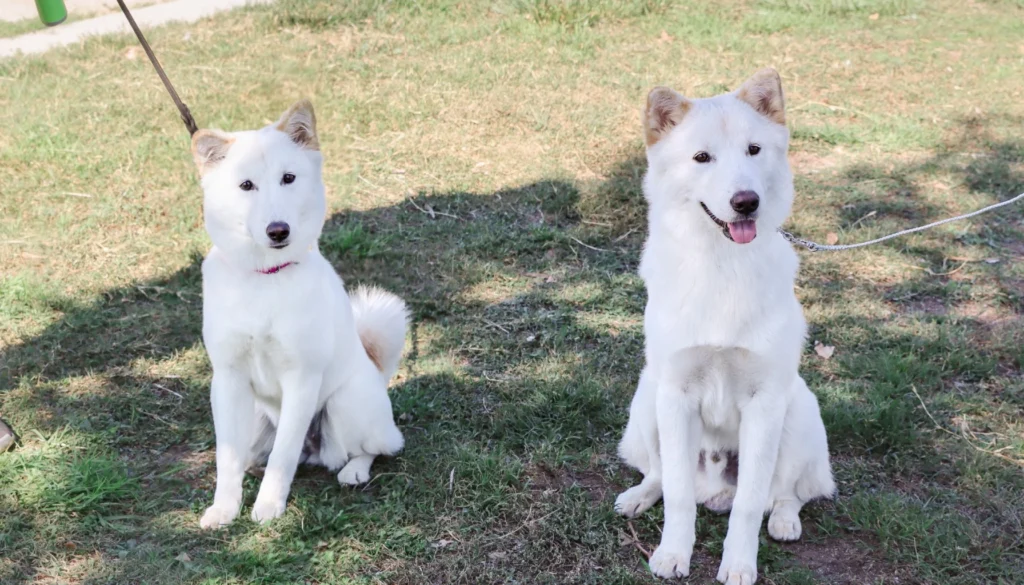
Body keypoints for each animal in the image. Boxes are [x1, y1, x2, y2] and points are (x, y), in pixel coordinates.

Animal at [190, 102, 405, 528]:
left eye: (288, 178)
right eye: (246, 186)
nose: (278, 230)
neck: (265, 276)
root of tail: (377, 372)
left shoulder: (302, 378)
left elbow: (284, 455)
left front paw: (268, 505)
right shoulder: (227, 379)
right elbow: (227, 458)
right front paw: (224, 508)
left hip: (345, 405)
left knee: (376, 447)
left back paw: (355, 470)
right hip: (255, 418)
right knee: (257, 454)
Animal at [610, 71, 835, 581]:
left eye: (754, 150)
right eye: (701, 157)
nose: (746, 202)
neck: (722, 263)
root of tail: (714, 492)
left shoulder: (765, 402)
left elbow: (750, 506)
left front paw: (737, 564)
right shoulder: (675, 394)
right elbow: (676, 496)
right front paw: (673, 554)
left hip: (799, 410)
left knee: (787, 493)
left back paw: (785, 520)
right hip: (647, 399)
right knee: (659, 475)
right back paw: (639, 497)